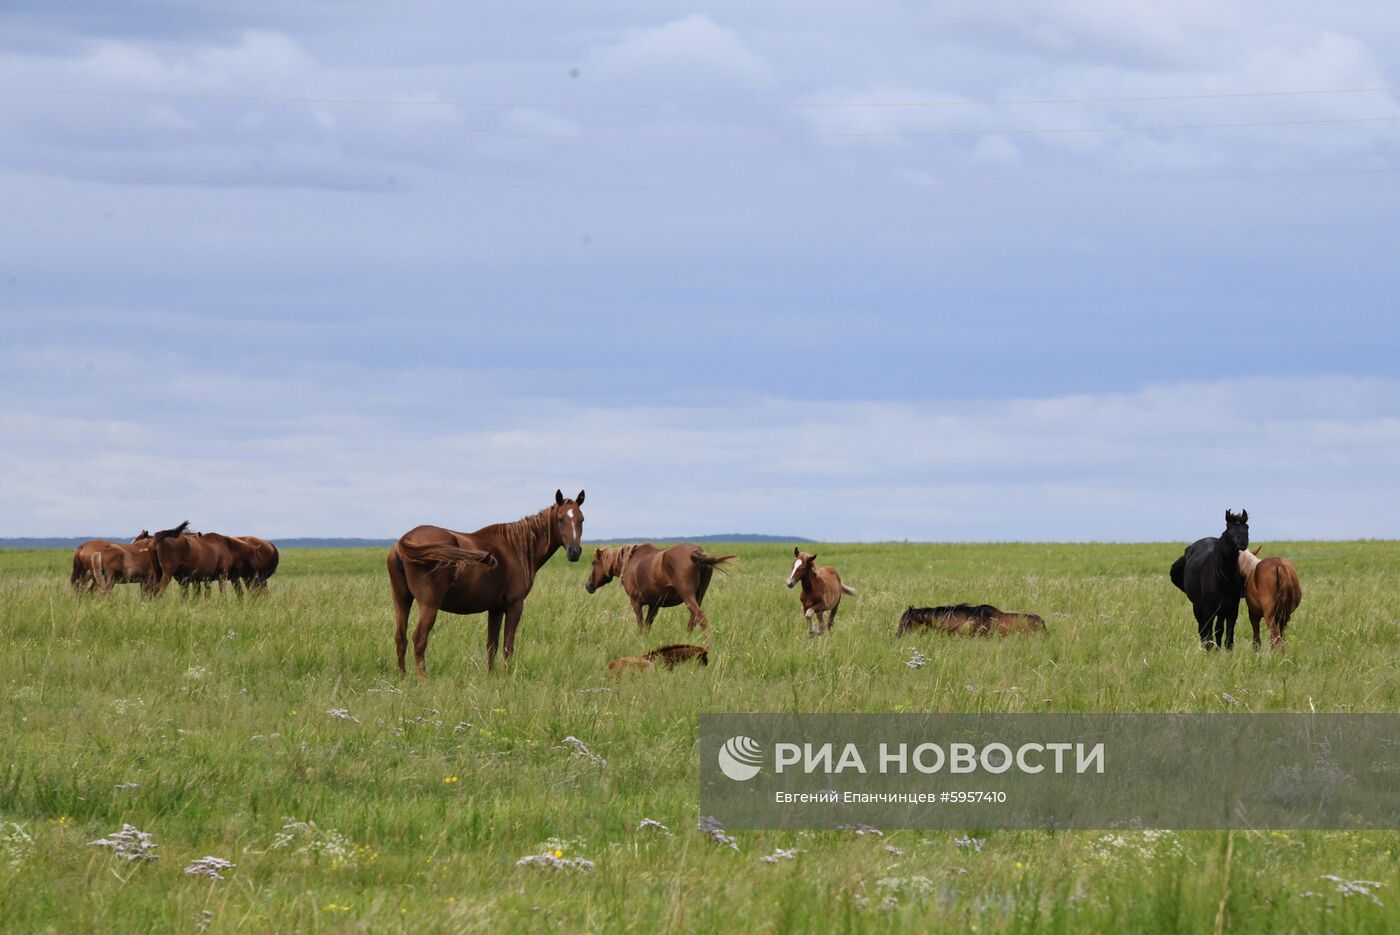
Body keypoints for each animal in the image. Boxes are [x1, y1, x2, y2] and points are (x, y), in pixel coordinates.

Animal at [389, 489, 585, 680]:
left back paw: (402, 678)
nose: (574, 552)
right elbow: (508, 646)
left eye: (581, 519)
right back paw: (424, 680)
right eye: (560, 519)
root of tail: (404, 541)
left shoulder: (495, 608)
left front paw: (490, 676)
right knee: (419, 639)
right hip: (429, 605)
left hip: (402, 601)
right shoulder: (514, 606)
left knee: (401, 638)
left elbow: (492, 645)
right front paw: (506, 678)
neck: (516, 548)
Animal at [582, 540, 739, 635]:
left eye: (593, 563)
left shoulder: (635, 602)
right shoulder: (654, 605)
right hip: (698, 596)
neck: (630, 562)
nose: (588, 585)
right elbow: (647, 626)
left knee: (701, 619)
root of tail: (695, 553)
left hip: (688, 596)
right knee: (693, 620)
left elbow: (640, 625)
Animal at [1164, 512, 1254, 649]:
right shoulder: (1209, 609)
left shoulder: (1231, 608)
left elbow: (1227, 634)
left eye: (1247, 527)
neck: (1223, 576)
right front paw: (1210, 649)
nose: (1243, 541)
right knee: (1203, 629)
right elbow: (1208, 632)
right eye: (1229, 527)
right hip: (1198, 606)